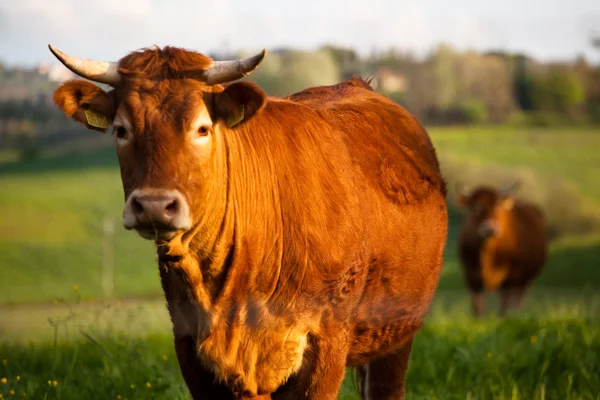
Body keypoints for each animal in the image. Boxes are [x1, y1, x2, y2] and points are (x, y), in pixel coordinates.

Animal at [49, 44, 448, 400]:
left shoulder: (327, 344)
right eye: (120, 129)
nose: (153, 205)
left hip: (396, 332)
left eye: (202, 128)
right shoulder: (192, 347)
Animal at [454, 183, 548, 318]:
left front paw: (503, 318)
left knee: (518, 299)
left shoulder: (512, 275)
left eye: (497, 206)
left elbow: (505, 303)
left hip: (525, 279)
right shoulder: (470, 275)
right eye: (475, 207)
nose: (490, 229)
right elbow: (477, 305)